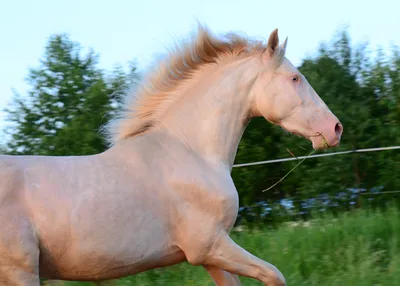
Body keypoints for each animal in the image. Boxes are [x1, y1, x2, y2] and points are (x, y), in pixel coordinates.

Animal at [0, 25, 344, 284]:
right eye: (294, 78)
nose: (335, 128)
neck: (191, 151)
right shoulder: (210, 245)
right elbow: (274, 275)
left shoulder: (213, 256)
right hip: (21, 272)